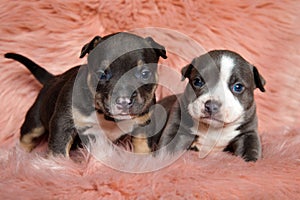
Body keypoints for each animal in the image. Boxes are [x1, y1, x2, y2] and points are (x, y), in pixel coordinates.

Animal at [4, 32, 168, 157]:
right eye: (102, 74)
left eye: (145, 73)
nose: (123, 100)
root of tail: (54, 78)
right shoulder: (63, 123)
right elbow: (58, 151)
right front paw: (57, 168)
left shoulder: (144, 124)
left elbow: (143, 147)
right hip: (35, 122)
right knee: (26, 137)